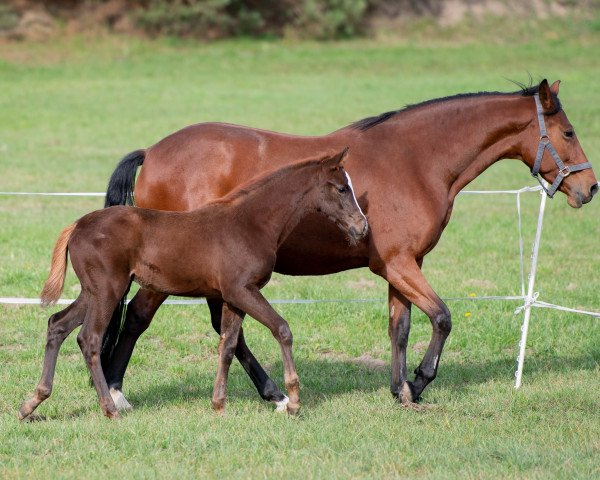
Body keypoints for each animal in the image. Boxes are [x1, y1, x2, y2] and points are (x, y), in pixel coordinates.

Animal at [18, 150, 368, 420]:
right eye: (341, 189)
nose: (362, 226)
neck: (250, 222)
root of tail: (77, 225)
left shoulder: (232, 296)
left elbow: (228, 344)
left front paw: (219, 404)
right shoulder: (243, 290)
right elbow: (281, 328)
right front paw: (292, 401)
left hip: (92, 292)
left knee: (57, 325)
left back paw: (31, 403)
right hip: (107, 290)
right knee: (89, 338)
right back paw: (109, 408)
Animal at [101, 78, 592, 408]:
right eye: (569, 132)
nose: (590, 187)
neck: (414, 160)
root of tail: (153, 152)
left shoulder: (402, 265)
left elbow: (400, 327)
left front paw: (399, 391)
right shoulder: (399, 263)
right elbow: (442, 318)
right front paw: (418, 382)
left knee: (222, 328)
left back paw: (271, 391)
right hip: (165, 275)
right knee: (137, 318)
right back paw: (117, 390)